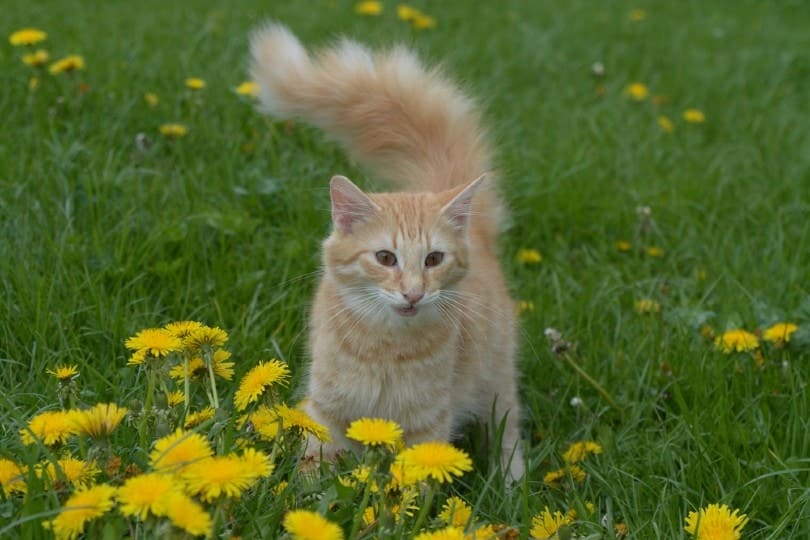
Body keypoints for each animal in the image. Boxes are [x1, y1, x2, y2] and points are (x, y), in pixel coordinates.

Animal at [248, 23, 524, 478]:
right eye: (385, 258)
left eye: (433, 259)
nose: (413, 293)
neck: (385, 350)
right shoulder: (327, 411)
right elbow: (312, 473)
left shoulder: (428, 423)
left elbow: (415, 482)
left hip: (496, 382)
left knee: (510, 431)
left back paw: (511, 484)